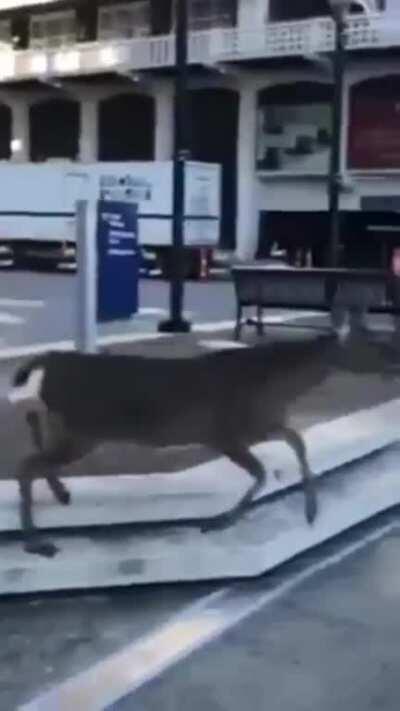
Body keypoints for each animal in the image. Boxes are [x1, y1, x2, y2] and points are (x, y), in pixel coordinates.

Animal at [8, 329, 399, 559]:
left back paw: (60, 495)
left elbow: (296, 439)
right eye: (374, 343)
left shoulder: (259, 426)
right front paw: (221, 520)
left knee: (35, 440)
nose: (394, 361)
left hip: (70, 428)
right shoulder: (224, 433)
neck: (279, 386)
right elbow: (262, 471)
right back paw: (35, 541)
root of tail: (50, 361)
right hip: (83, 430)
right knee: (27, 462)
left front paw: (311, 511)